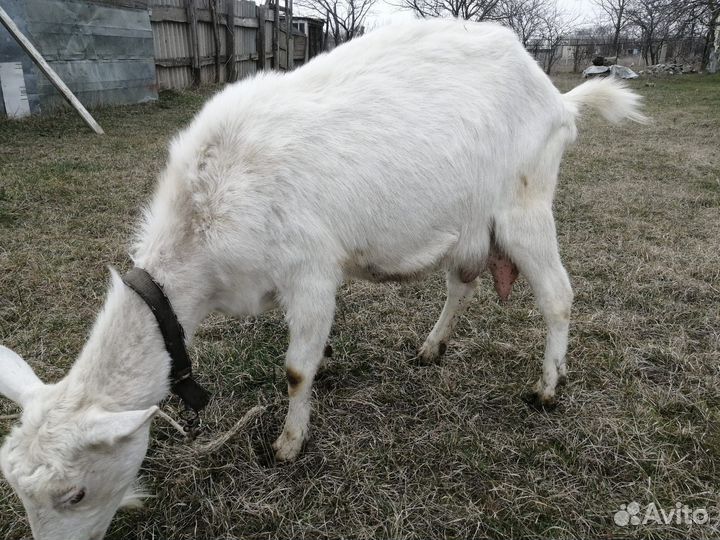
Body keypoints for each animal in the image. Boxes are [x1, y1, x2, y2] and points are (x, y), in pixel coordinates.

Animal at [0, 19, 646, 539]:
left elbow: (294, 368)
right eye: (18, 490)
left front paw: (288, 443)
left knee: (558, 295)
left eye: (75, 492)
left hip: (525, 205)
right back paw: (432, 348)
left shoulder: (309, 270)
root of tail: (558, 98)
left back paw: (547, 387)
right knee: (460, 283)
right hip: (467, 221)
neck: (209, 209)